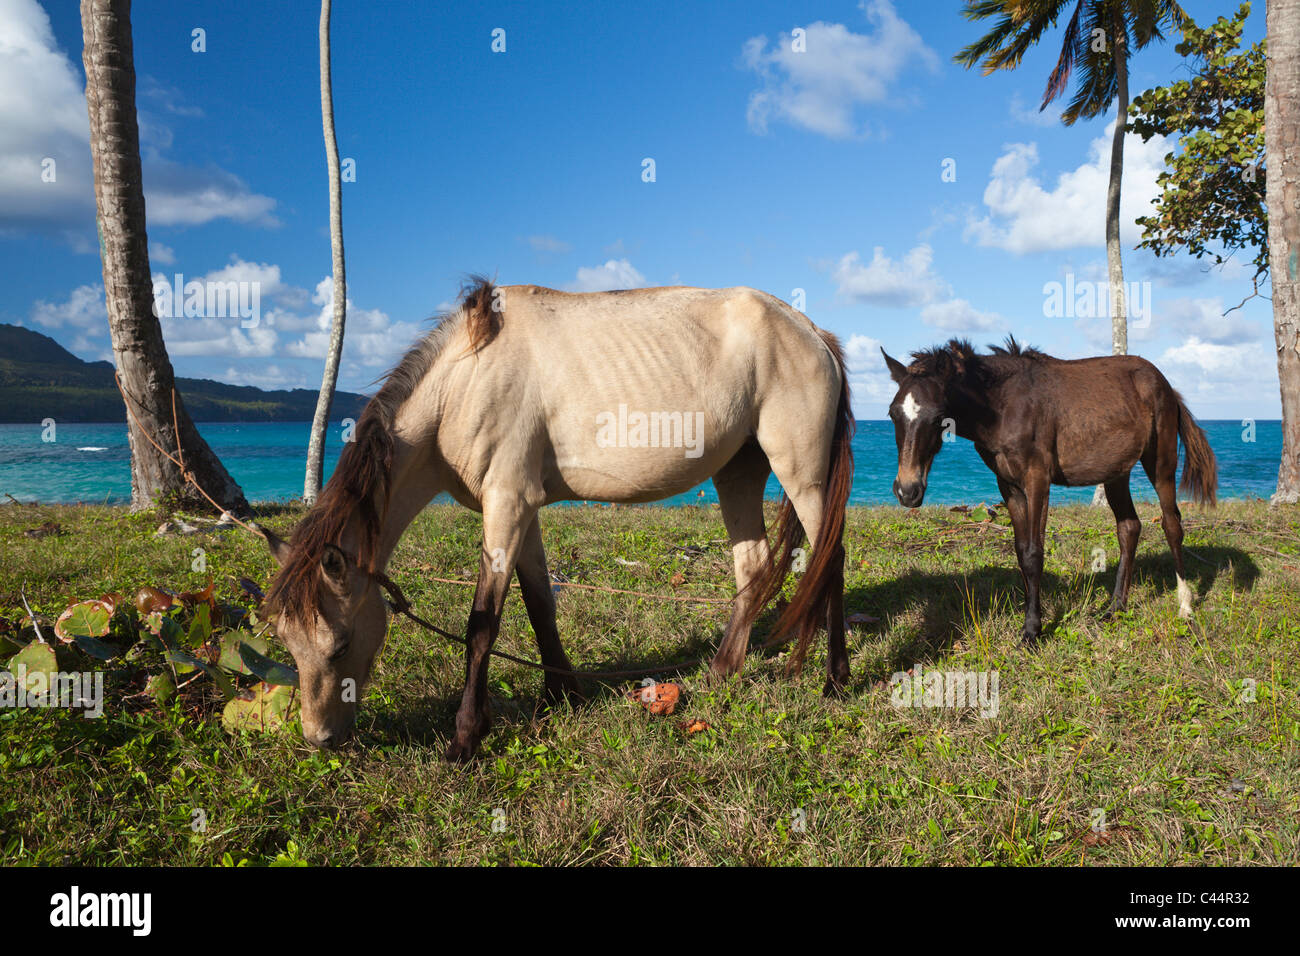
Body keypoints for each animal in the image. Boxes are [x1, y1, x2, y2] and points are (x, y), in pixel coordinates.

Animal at [262, 278, 852, 764]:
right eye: (287, 642)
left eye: (339, 644)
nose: (320, 739)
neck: (465, 379)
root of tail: (811, 330)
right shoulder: (522, 513)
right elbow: (539, 604)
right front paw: (562, 693)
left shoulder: (508, 504)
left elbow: (483, 623)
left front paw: (466, 737)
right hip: (739, 471)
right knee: (753, 566)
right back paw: (723, 671)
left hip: (800, 474)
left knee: (831, 557)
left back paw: (836, 680)